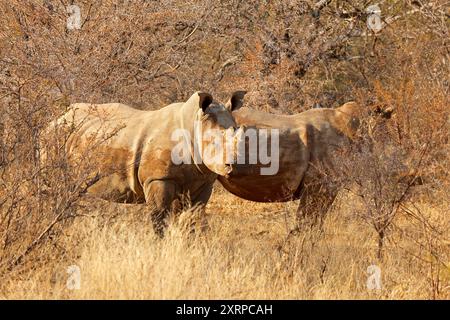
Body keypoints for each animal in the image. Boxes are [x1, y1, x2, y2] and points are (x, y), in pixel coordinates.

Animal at [45, 90, 246, 235]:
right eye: (214, 143)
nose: (235, 167)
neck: (193, 124)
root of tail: (56, 119)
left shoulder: (203, 179)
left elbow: (193, 216)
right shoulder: (158, 179)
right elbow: (159, 216)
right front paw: (160, 246)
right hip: (55, 138)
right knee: (56, 188)